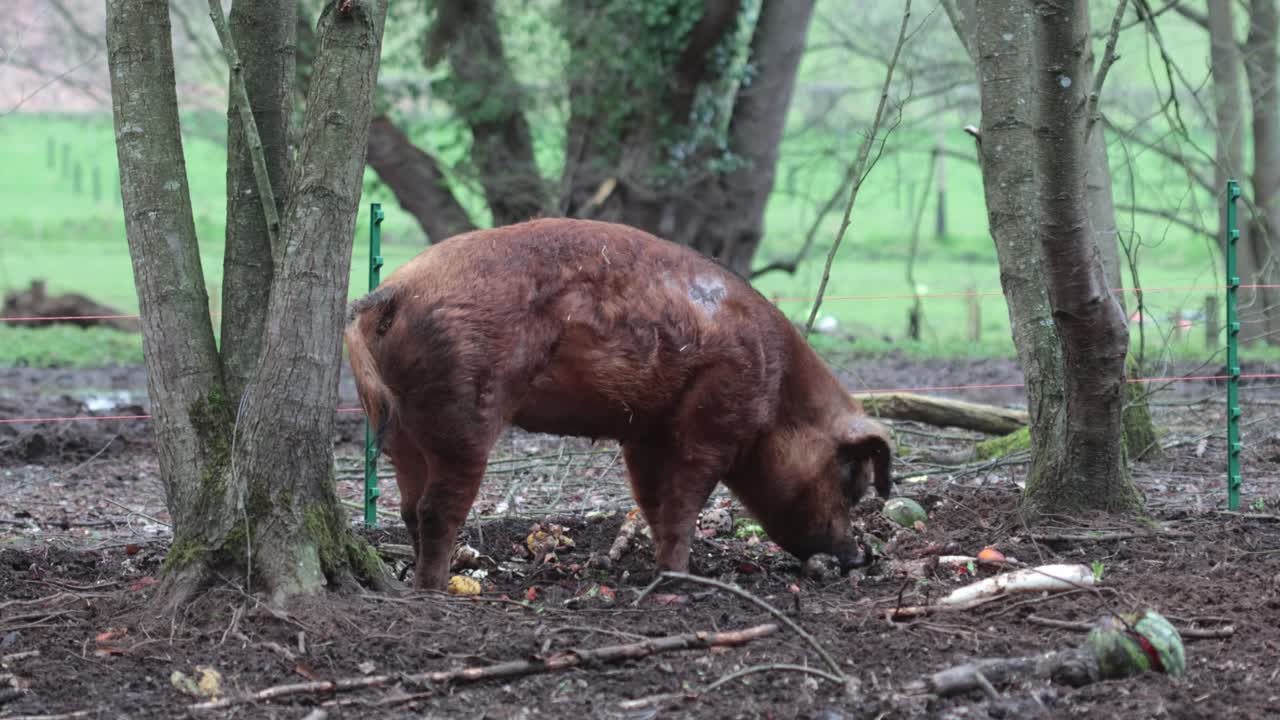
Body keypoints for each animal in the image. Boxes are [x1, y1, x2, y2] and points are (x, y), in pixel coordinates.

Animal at [344, 217, 894, 590]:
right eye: (852, 481)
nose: (859, 558)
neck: (779, 398)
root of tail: (391, 291)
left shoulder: (644, 435)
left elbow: (653, 501)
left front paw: (664, 568)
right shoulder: (714, 420)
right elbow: (685, 500)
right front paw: (683, 579)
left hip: (401, 429)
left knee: (410, 508)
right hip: (464, 415)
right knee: (436, 509)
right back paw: (438, 591)